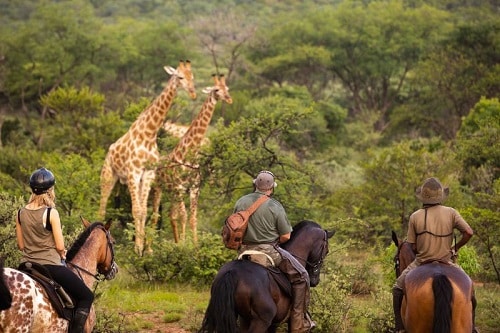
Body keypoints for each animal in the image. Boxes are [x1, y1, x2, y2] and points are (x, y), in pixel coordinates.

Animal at [98, 59, 196, 253]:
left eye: (192, 77)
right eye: (180, 77)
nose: (193, 93)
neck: (150, 133)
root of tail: (110, 149)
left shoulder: (148, 174)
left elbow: (143, 210)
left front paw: (143, 248)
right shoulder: (134, 173)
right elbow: (136, 210)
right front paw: (137, 248)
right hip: (108, 174)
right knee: (102, 206)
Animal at [152, 74, 232, 243]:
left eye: (227, 88)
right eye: (216, 90)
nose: (229, 99)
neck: (189, 154)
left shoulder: (194, 188)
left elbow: (192, 218)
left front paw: (194, 245)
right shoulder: (180, 188)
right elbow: (184, 216)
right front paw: (184, 245)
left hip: (172, 192)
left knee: (171, 215)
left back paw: (175, 242)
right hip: (158, 188)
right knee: (155, 216)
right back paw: (149, 248)